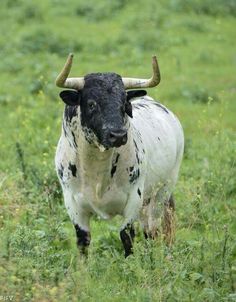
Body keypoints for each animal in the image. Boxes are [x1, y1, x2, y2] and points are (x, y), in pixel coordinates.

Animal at [54, 54, 183, 258]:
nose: (118, 135)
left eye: (124, 104)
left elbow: (126, 237)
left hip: (163, 190)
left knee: (152, 229)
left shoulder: (134, 200)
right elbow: (83, 242)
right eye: (92, 103)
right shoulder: (73, 204)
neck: (96, 167)